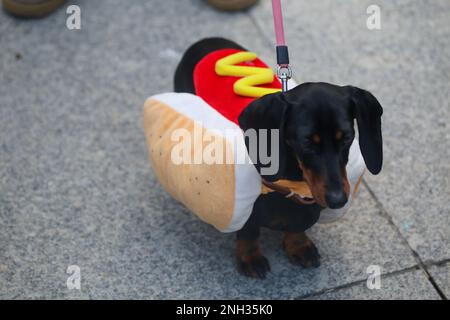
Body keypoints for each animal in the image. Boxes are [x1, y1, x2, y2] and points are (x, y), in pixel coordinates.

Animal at [173, 37, 384, 278]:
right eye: (306, 142)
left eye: (347, 137)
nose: (338, 200)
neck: (294, 182)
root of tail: (206, 40)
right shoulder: (249, 210)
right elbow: (249, 231)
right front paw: (250, 257)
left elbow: (297, 228)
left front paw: (299, 246)